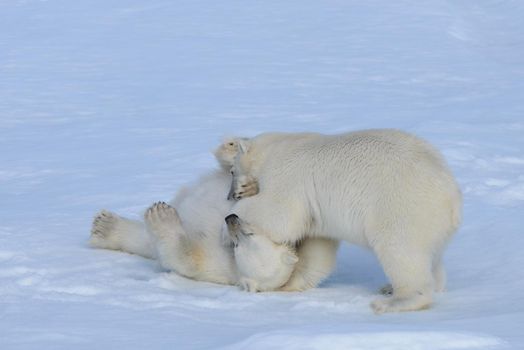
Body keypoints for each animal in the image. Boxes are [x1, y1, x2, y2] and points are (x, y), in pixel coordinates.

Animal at [89, 138, 340, 292]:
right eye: (251, 231)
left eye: (242, 242)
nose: (230, 219)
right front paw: (234, 155)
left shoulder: (218, 266)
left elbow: (186, 259)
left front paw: (162, 216)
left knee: (148, 241)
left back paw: (104, 227)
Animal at [225, 130, 462, 314]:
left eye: (232, 170)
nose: (230, 195)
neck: (276, 147)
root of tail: (451, 195)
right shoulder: (317, 215)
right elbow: (318, 245)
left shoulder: (286, 174)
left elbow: (279, 213)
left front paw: (235, 209)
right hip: (432, 223)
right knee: (432, 258)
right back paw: (395, 287)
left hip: (400, 207)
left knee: (400, 250)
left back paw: (392, 301)